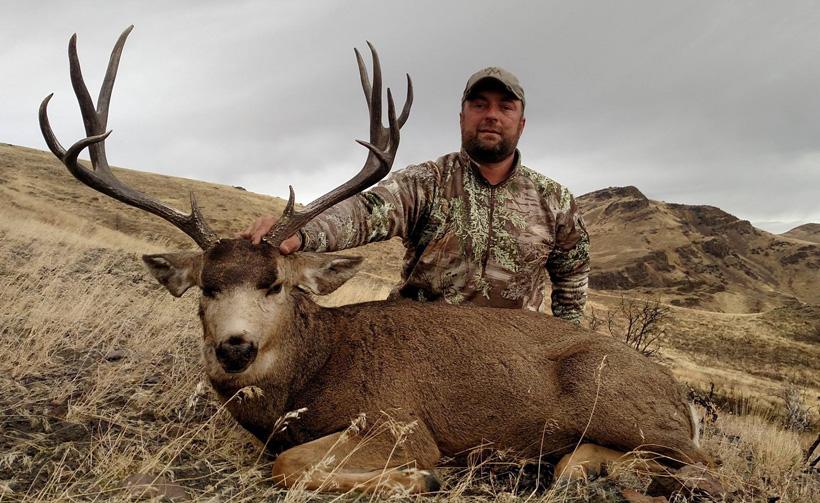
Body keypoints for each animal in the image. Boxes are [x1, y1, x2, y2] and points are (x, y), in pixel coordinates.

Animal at [40, 27, 712, 495]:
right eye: (207, 287)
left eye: (276, 285)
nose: (235, 347)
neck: (314, 368)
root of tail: (681, 397)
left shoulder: (401, 423)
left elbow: (289, 465)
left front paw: (419, 479)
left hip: (615, 400)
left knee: (701, 466)